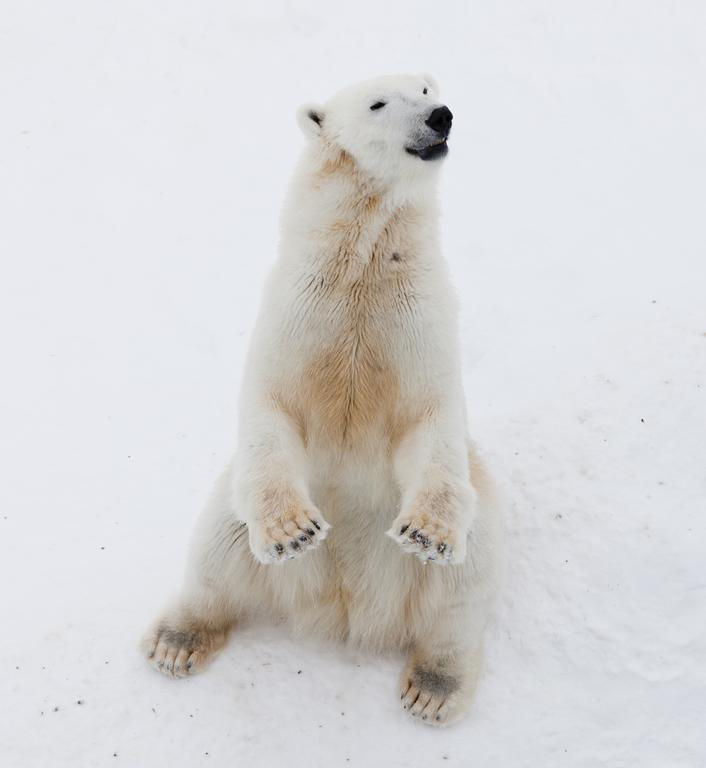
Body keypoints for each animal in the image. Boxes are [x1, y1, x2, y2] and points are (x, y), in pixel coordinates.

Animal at [140, 75, 498, 728]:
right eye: (380, 102)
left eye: (427, 86)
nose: (441, 115)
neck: (362, 262)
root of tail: (347, 608)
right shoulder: (300, 306)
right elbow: (273, 404)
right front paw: (292, 532)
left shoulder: (419, 315)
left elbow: (429, 416)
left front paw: (427, 532)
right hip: (237, 519)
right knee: (217, 547)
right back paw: (176, 642)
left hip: (469, 526)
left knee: (463, 587)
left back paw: (434, 686)